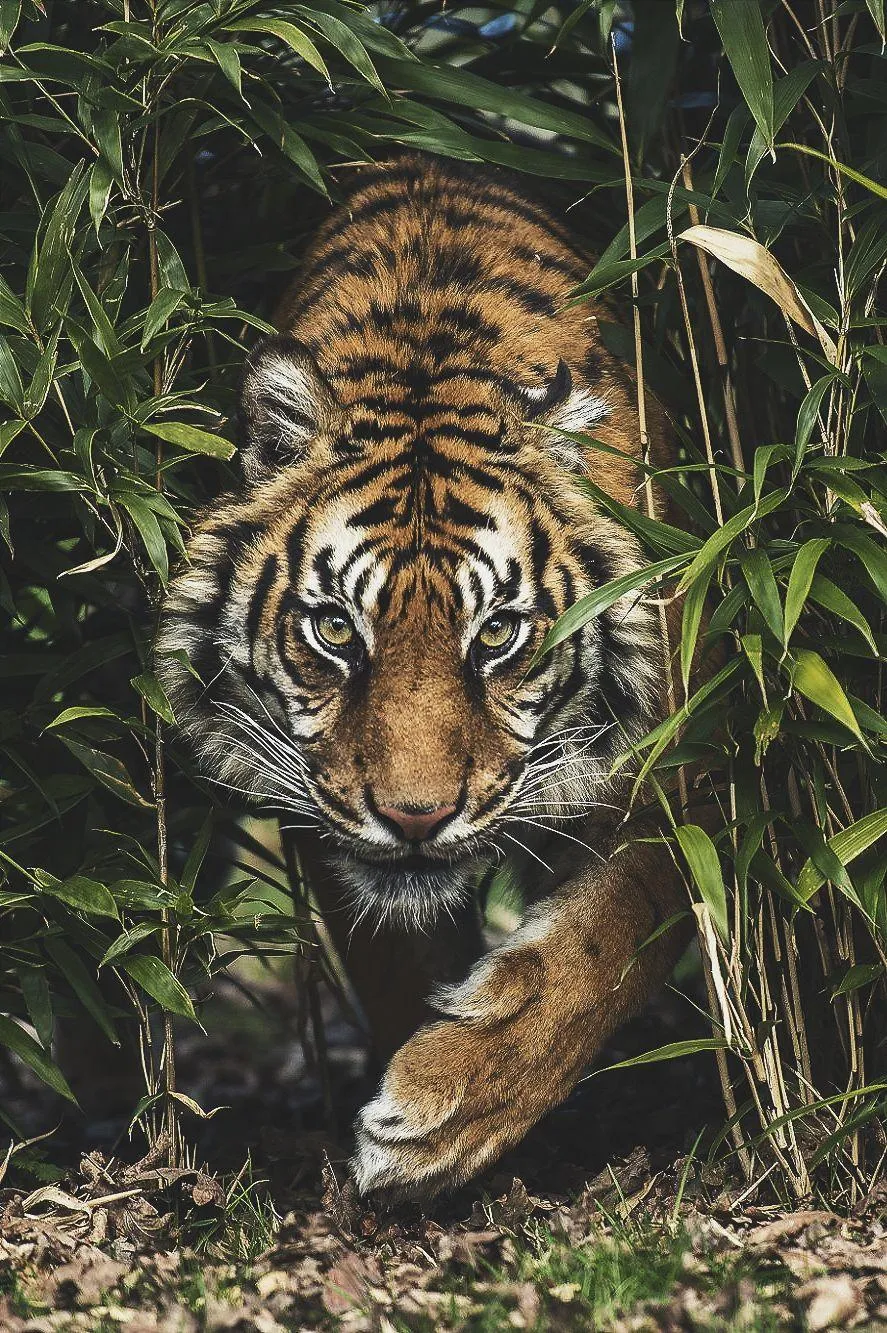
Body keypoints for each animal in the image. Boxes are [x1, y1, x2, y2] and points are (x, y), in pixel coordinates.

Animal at [156, 152, 691, 1199]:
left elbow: (609, 938)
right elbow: (394, 957)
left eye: (497, 635)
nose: (414, 818)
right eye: (333, 628)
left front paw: (439, 1113)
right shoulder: (316, 805)